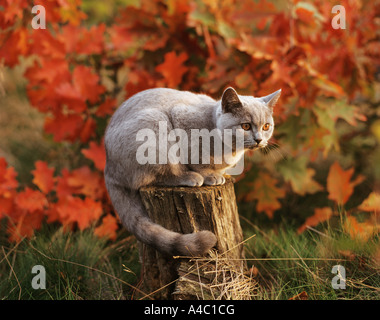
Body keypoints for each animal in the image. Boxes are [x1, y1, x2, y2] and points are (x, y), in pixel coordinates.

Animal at [103, 86, 280, 256]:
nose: (259, 139)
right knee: (152, 177)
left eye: (266, 126)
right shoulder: (182, 123)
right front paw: (211, 175)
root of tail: (109, 169)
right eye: (246, 126)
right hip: (156, 129)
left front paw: (224, 174)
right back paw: (190, 177)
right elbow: (199, 162)